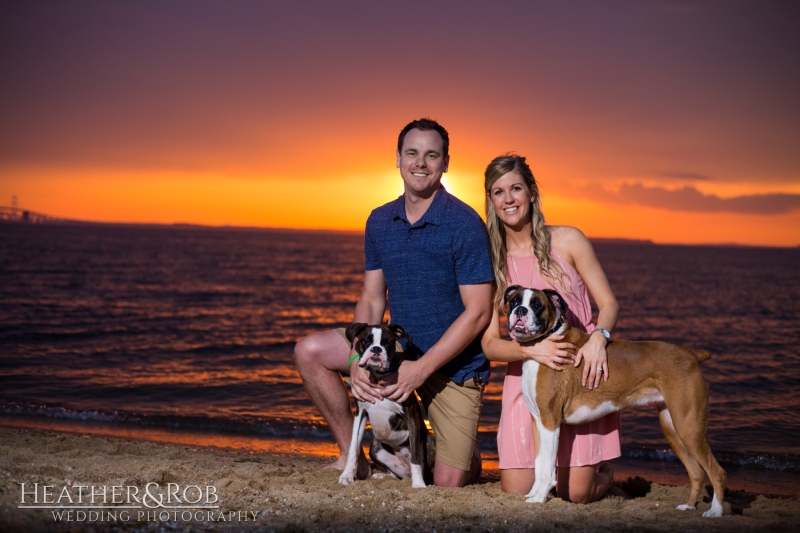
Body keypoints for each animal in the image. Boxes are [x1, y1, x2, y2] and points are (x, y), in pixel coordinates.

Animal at [338, 322, 438, 488]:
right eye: (366, 341)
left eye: (387, 343)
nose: (376, 349)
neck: (379, 378)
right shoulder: (361, 414)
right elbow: (353, 447)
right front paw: (347, 476)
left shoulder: (411, 416)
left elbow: (416, 456)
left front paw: (418, 484)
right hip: (375, 445)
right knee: (396, 475)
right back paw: (382, 476)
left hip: (429, 439)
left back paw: (417, 479)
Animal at [510, 286, 728, 516]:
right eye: (514, 301)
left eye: (536, 305)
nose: (521, 310)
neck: (545, 343)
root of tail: (691, 354)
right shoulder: (538, 422)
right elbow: (539, 463)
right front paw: (533, 495)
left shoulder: (550, 422)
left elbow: (547, 467)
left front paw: (540, 497)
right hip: (674, 428)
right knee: (697, 472)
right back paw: (688, 505)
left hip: (689, 427)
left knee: (718, 472)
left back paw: (715, 512)